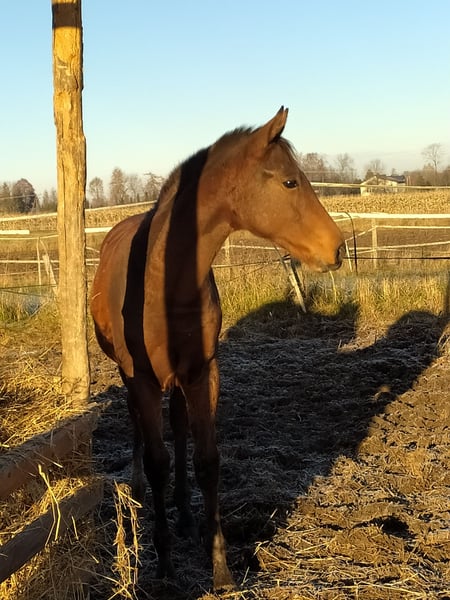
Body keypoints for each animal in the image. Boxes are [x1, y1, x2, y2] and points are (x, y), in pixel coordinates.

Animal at [90, 107, 344, 589]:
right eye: (290, 182)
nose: (337, 249)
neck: (164, 283)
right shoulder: (144, 379)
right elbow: (158, 461)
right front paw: (165, 565)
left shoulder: (202, 372)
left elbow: (207, 460)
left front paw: (220, 568)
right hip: (132, 379)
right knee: (139, 433)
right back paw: (138, 488)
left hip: (179, 381)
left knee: (179, 426)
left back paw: (186, 516)